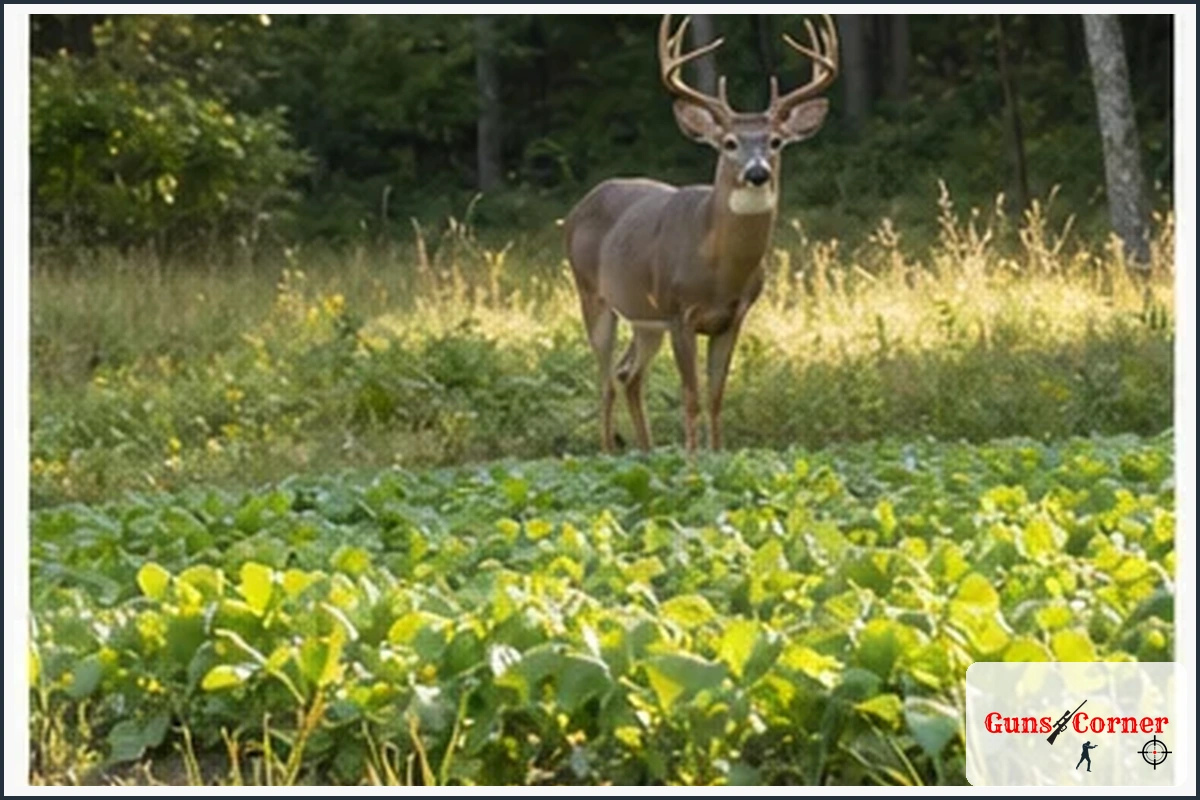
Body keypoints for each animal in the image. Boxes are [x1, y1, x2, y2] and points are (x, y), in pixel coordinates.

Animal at [564, 14, 840, 453]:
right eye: (728, 143)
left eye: (776, 141)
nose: (757, 172)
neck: (718, 270)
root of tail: (578, 207)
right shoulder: (679, 312)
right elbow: (691, 397)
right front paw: (693, 461)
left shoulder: (733, 317)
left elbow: (715, 396)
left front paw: (717, 454)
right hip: (592, 295)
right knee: (605, 380)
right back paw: (608, 453)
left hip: (645, 319)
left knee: (628, 374)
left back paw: (647, 452)